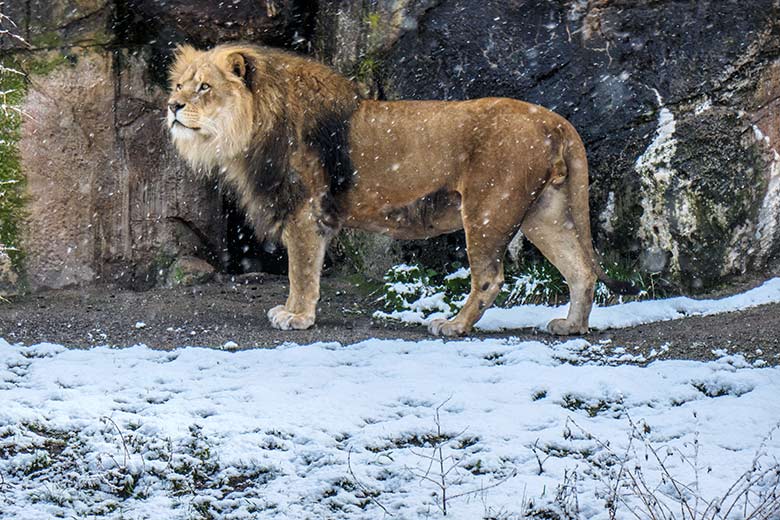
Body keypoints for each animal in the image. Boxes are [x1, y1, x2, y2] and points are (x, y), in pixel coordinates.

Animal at [168, 43, 636, 338]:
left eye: (205, 87)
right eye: (178, 85)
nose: (172, 106)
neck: (252, 126)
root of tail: (554, 120)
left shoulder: (304, 212)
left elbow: (301, 271)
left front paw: (296, 316)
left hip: (488, 209)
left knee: (490, 278)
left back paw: (453, 326)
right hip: (545, 211)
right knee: (581, 269)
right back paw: (571, 326)